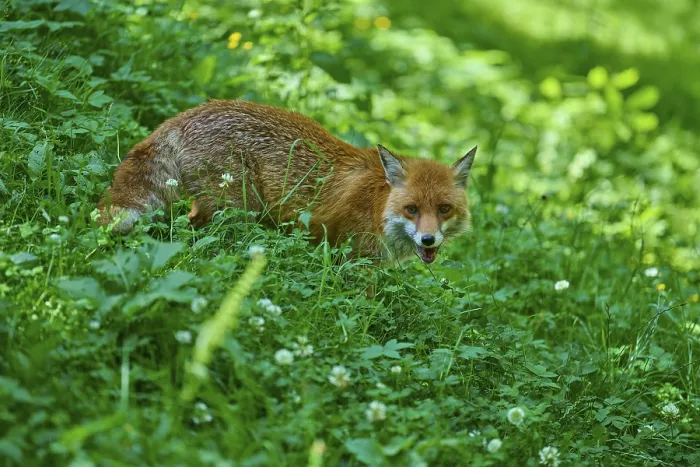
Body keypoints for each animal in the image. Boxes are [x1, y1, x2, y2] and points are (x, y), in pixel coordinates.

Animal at [97, 100, 477, 264]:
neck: (377, 204)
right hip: (235, 209)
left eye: (444, 209)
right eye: (412, 209)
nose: (428, 239)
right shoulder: (354, 259)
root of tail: (185, 115)